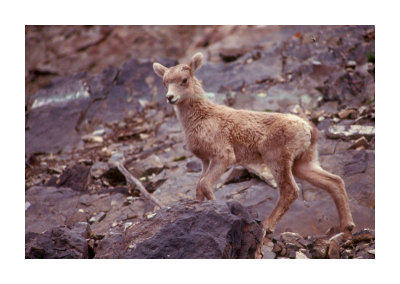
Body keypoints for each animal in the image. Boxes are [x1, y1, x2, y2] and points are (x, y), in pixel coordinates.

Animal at [153, 52, 356, 235]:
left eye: (184, 80)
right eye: (165, 83)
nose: (170, 97)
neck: (202, 118)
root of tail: (308, 129)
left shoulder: (223, 157)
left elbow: (204, 185)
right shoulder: (205, 160)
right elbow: (199, 187)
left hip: (277, 159)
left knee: (290, 191)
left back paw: (267, 226)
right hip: (303, 163)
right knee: (334, 182)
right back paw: (347, 226)